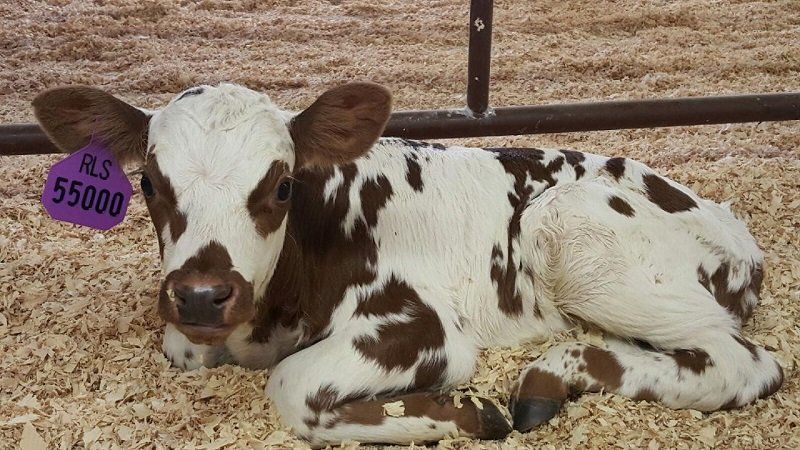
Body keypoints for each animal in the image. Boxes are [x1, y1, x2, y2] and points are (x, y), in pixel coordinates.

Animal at [33, 82, 783, 446]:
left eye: (282, 185)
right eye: (149, 183)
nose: (201, 294)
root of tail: (729, 225)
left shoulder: (419, 325)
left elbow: (293, 386)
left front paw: (463, 415)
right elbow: (186, 349)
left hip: (579, 236)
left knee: (745, 362)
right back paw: (551, 380)